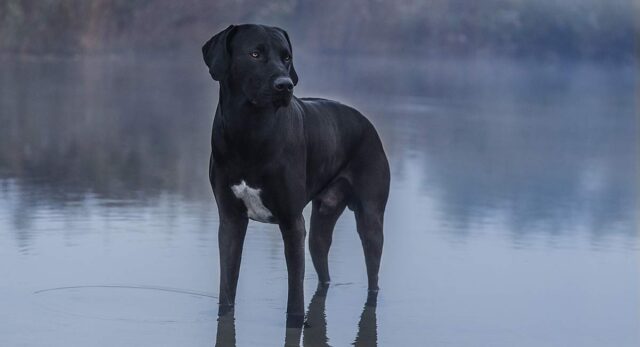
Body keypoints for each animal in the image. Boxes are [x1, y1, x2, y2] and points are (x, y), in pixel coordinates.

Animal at [202, 23, 390, 326]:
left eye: (286, 57)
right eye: (254, 53)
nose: (285, 85)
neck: (250, 131)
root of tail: (367, 122)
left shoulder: (292, 223)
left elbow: (295, 298)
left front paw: (295, 321)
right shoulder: (230, 221)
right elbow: (227, 288)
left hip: (371, 220)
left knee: (373, 274)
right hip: (320, 227)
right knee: (324, 270)